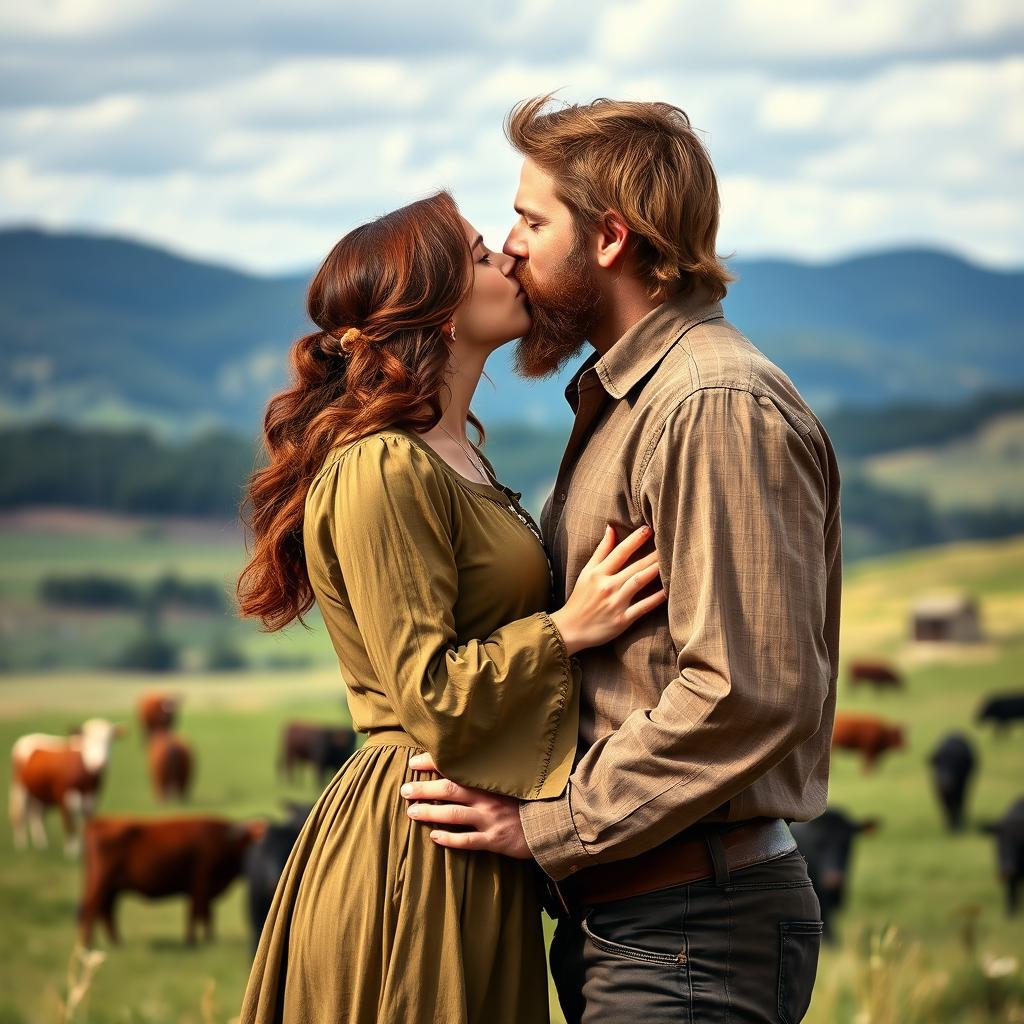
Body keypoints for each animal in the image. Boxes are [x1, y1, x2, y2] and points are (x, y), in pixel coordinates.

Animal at [10, 720, 125, 856]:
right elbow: (70, 825)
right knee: (20, 814)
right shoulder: (63, 798)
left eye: (109, 740)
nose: (98, 764)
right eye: (87, 739)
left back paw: (41, 844)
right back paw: (21, 845)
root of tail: (27, 738)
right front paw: (71, 853)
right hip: (19, 789)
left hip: (39, 795)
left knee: (36, 815)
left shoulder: (92, 800)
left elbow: (88, 824)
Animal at [80, 811, 268, 946]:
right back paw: (88, 944)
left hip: (112, 888)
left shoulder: (203, 888)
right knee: (92, 908)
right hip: (102, 883)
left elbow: (206, 914)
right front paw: (192, 941)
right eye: (256, 835)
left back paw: (116, 942)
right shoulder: (200, 883)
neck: (225, 841)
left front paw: (208, 939)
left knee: (106, 911)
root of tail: (96, 823)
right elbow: (197, 913)